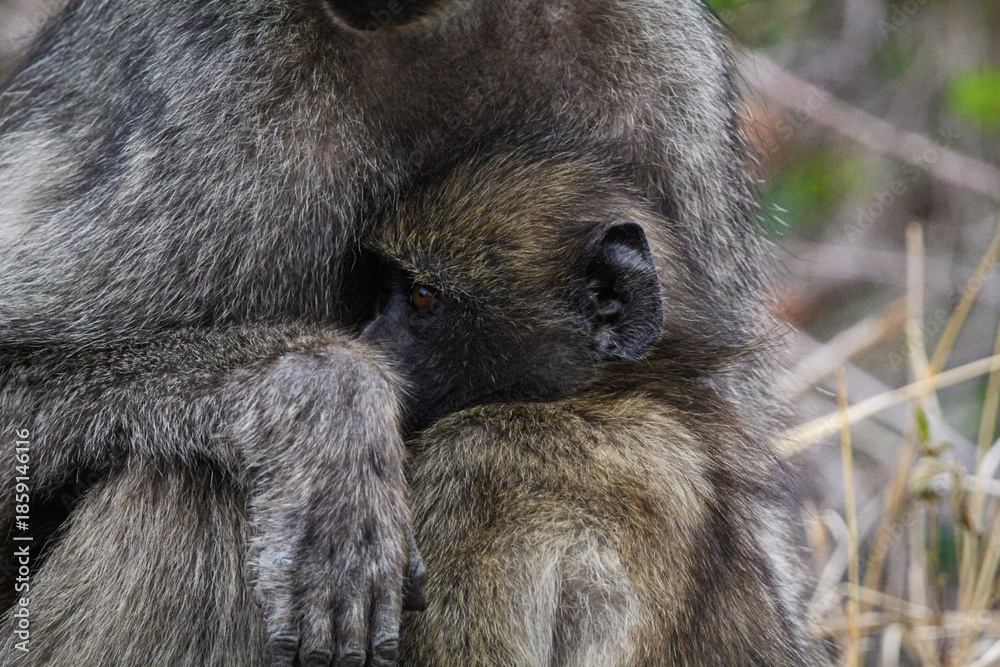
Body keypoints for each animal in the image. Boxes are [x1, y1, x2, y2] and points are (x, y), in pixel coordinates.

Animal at [0, 0, 771, 663]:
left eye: (421, 299)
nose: (369, 334)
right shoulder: (216, 96)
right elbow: (16, 372)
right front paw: (325, 401)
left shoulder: (665, 67)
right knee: (188, 482)